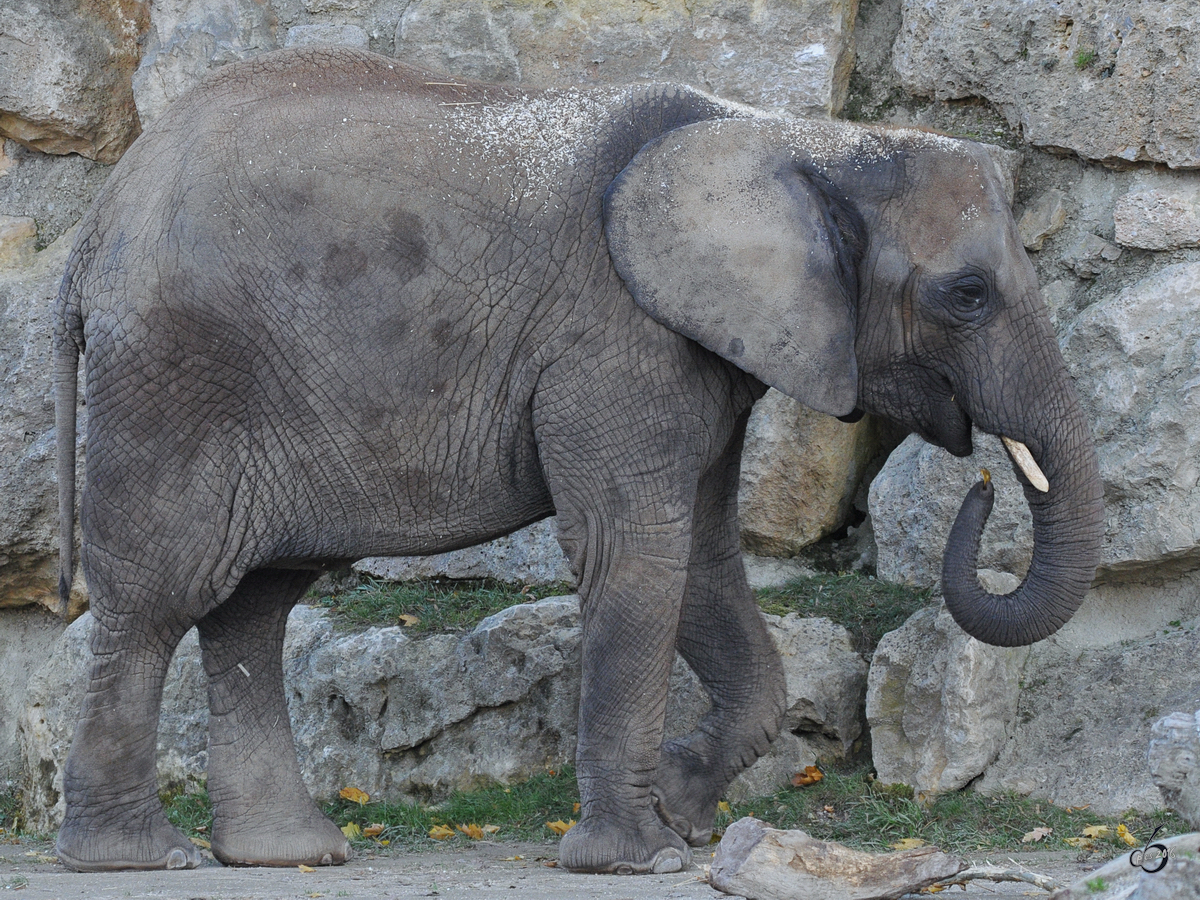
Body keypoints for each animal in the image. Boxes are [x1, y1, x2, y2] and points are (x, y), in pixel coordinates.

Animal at [54, 45, 1104, 878]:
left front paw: (681, 813)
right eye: (967, 294)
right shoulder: (616, 339)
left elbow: (704, 558)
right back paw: (137, 858)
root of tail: (98, 221)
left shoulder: (695, 348)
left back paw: (288, 854)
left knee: (256, 602)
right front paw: (641, 859)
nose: (982, 481)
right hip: (176, 368)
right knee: (160, 593)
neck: (790, 137)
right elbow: (634, 552)